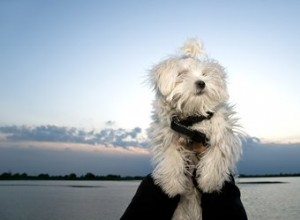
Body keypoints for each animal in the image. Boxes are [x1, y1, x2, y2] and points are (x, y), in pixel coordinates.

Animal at [149, 38, 243, 219]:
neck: (193, 118)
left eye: (205, 75)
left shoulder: (222, 133)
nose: (201, 83)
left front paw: (209, 182)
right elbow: (171, 157)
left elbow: (216, 154)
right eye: (182, 74)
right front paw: (171, 186)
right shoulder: (169, 136)